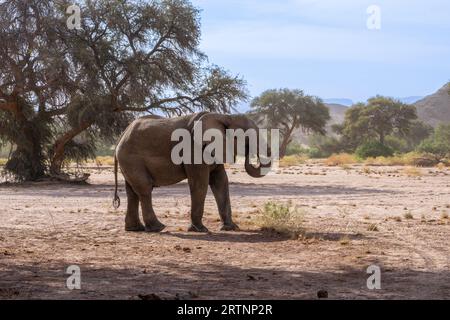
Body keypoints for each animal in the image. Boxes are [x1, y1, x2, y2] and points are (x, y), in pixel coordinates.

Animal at [114, 112, 272, 232]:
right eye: (247, 137)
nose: (248, 154)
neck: (224, 116)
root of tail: (122, 134)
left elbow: (221, 182)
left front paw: (231, 228)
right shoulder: (194, 150)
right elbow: (200, 184)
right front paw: (200, 230)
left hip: (128, 161)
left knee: (132, 191)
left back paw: (135, 229)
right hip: (131, 159)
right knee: (145, 189)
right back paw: (158, 228)